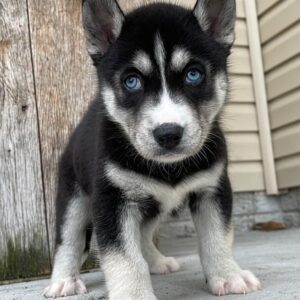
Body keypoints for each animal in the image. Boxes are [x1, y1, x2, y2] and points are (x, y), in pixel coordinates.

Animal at [43, 1, 262, 298]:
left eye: (194, 74)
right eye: (131, 81)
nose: (168, 134)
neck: (167, 168)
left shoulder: (212, 189)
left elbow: (218, 236)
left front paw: (228, 275)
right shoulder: (111, 201)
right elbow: (124, 256)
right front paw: (134, 294)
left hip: (151, 205)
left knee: (143, 234)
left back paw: (156, 261)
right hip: (73, 199)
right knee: (68, 241)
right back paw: (63, 280)